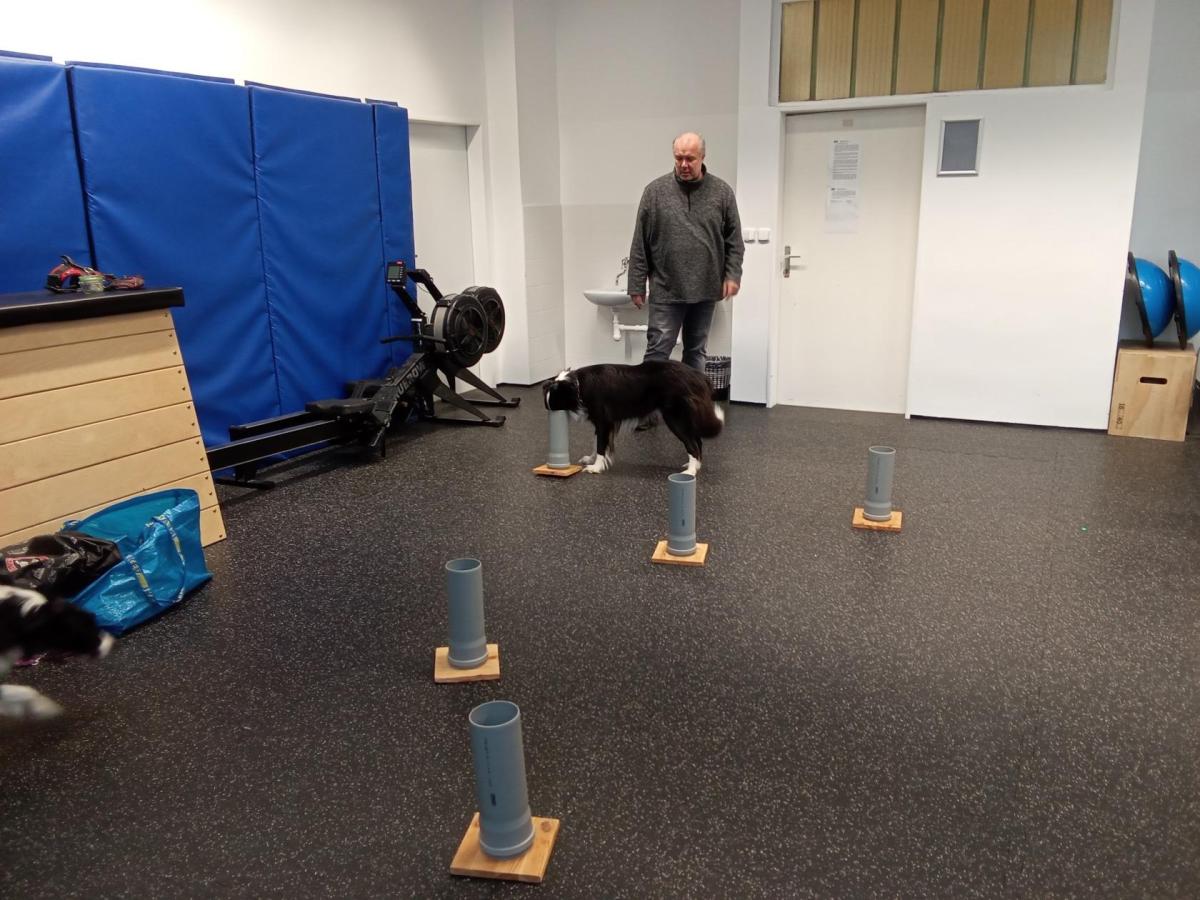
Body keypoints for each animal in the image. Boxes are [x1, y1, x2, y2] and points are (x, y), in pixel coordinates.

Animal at [543, 361, 724, 475]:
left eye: (555, 405)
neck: (578, 384)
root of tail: (701, 377)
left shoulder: (603, 421)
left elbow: (600, 445)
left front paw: (596, 467)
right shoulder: (602, 423)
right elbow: (596, 443)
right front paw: (591, 459)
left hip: (675, 418)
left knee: (692, 443)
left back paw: (691, 471)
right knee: (697, 441)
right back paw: (695, 465)